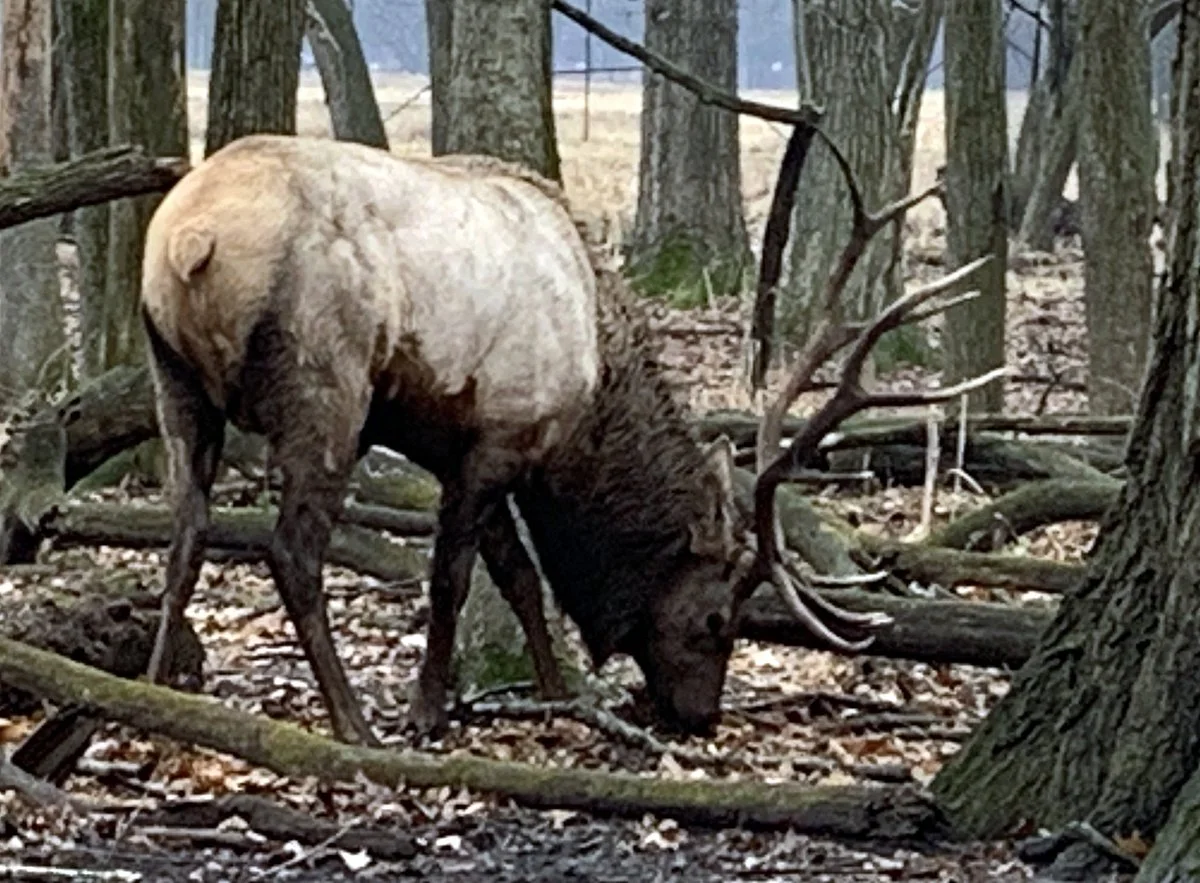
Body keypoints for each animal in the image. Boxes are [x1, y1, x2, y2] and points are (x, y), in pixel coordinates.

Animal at [137, 129, 1000, 747]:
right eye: (716, 619)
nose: (701, 718)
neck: (591, 397)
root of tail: (187, 242)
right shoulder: (502, 436)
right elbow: (455, 579)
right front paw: (428, 711)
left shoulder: (463, 444)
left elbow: (520, 576)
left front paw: (554, 692)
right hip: (327, 385)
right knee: (290, 550)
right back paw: (353, 723)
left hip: (173, 383)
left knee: (187, 531)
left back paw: (151, 685)